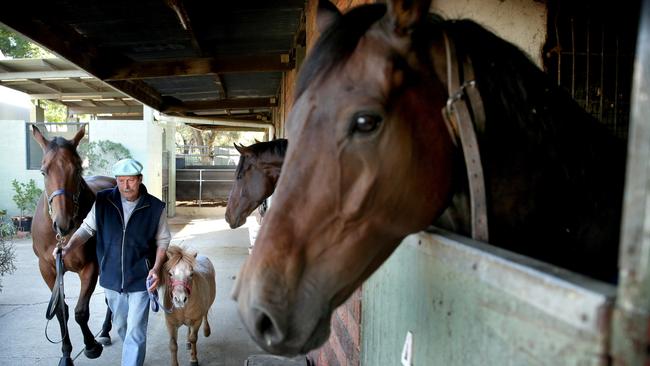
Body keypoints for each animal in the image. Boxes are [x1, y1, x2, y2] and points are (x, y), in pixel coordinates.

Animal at [30, 126, 115, 364]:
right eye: (43, 171)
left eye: (77, 169)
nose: (63, 223)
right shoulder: (48, 269)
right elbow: (61, 312)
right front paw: (66, 354)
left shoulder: (90, 266)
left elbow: (80, 312)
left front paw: (91, 345)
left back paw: (105, 331)